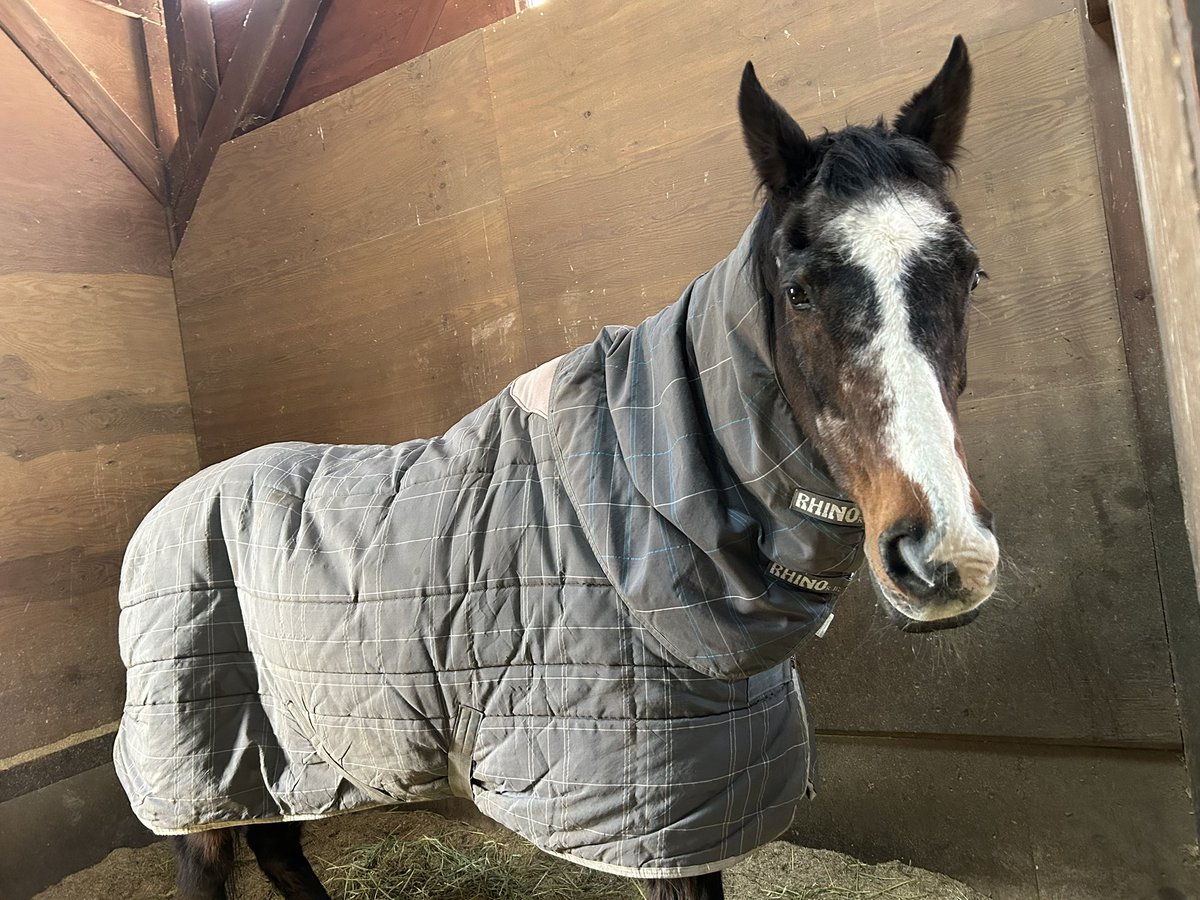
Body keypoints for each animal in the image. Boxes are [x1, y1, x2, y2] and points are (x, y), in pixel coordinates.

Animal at [115, 35, 996, 900]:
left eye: (968, 270)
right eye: (800, 288)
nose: (946, 555)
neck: (648, 509)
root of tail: (164, 510)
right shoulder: (659, 820)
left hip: (295, 756)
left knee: (280, 847)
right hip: (202, 773)